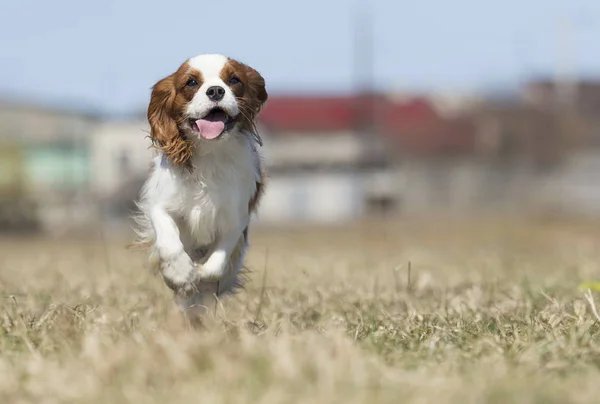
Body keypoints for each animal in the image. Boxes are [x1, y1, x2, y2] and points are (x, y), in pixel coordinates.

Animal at [135, 54, 268, 318]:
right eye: (191, 82)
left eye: (234, 80)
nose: (216, 90)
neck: (210, 153)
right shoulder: (160, 205)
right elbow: (169, 243)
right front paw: (181, 277)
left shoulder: (235, 219)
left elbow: (217, 264)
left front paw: (200, 274)